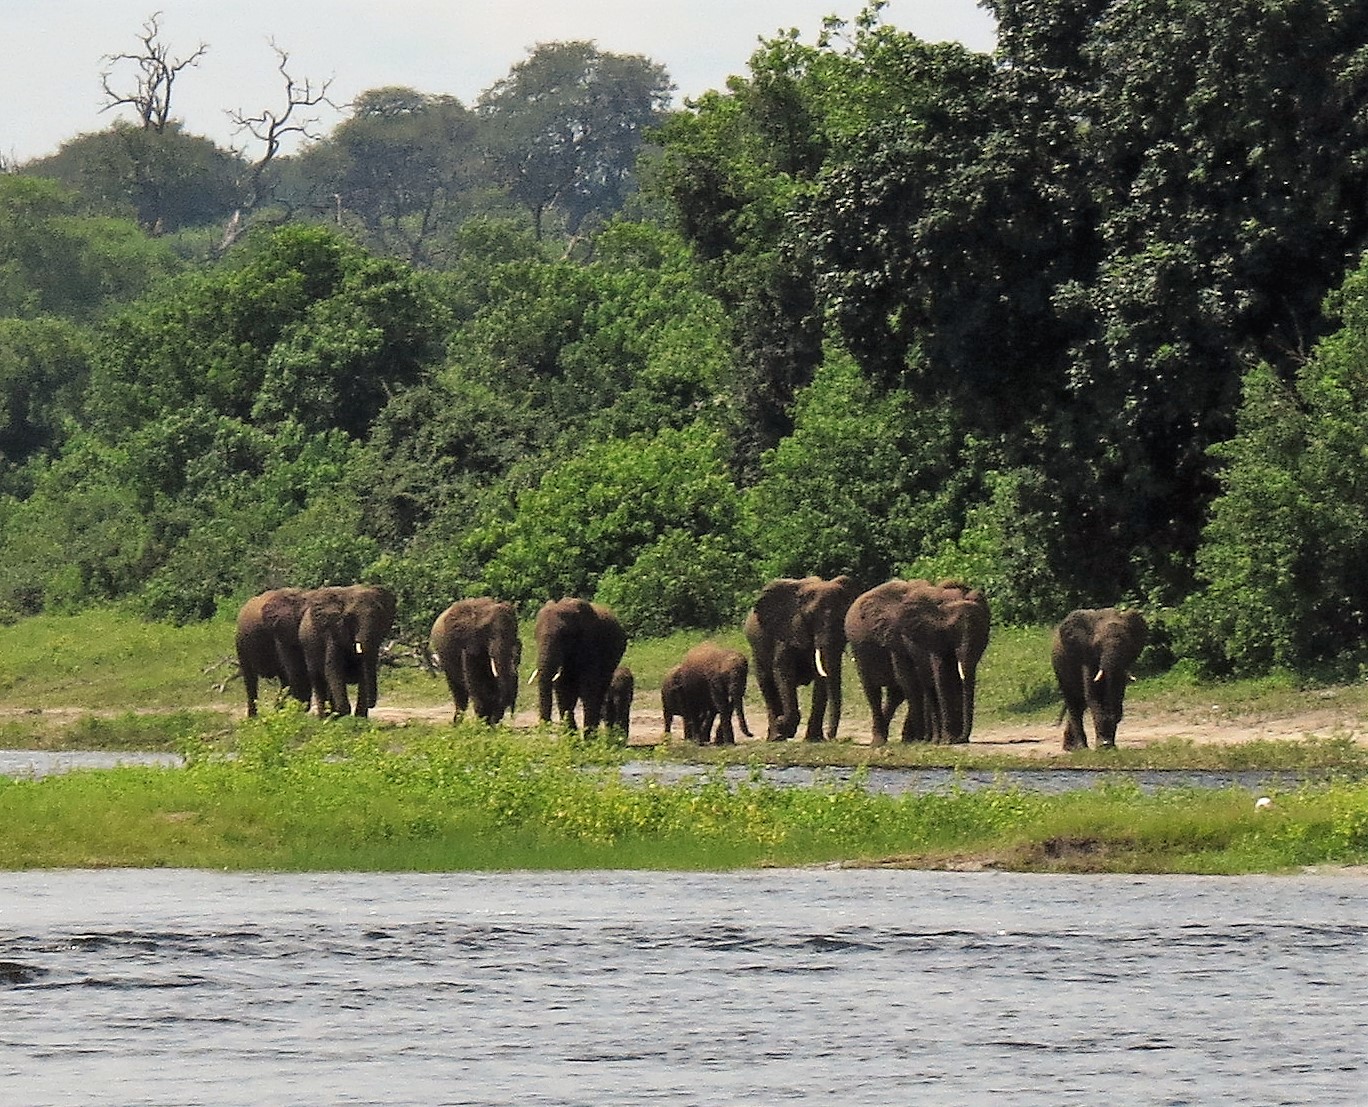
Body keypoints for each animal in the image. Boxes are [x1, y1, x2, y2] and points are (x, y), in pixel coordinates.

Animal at [298, 584, 397, 718]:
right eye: (350, 618)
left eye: (381, 618)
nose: (371, 704)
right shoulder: (332, 632)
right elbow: (333, 668)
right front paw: (343, 715)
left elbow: (363, 671)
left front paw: (360, 717)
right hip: (308, 646)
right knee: (318, 678)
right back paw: (325, 716)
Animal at [530, 598, 628, 732]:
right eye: (535, 636)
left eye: (564, 636)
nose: (547, 725)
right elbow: (562, 689)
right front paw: (570, 736)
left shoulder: (591, 643)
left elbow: (588, 687)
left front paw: (587, 736)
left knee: (599, 691)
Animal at [744, 575, 858, 742]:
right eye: (810, 617)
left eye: (845, 617)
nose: (831, 736)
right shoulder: (785, 632)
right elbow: (784, 672)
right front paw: (784, 726)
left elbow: (821, 677)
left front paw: (814, 739)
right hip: (756, 651)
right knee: (767, 684)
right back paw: (776, 736)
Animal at [845, 579, 991, 746]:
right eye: (952, 630)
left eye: (985, 634)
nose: (963, 739)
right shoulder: (902, 636)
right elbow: (932, 678)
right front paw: (944, 740)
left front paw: (944, 739)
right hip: (859, 650)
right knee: (874, 691)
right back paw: (882, 741)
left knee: (896, 694)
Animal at [1051, 607, 1148, 750]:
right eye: (1097, 645)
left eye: (1127, 644)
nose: (1107, 743)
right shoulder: (1087, 657)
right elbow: (1093, 695)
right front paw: (1103, 745)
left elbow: (1117, 694)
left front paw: (1109, 745)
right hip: (1059, 667)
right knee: (1074, 703)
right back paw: (1081, 748)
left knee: (1080, 704)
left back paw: (1070, 748)